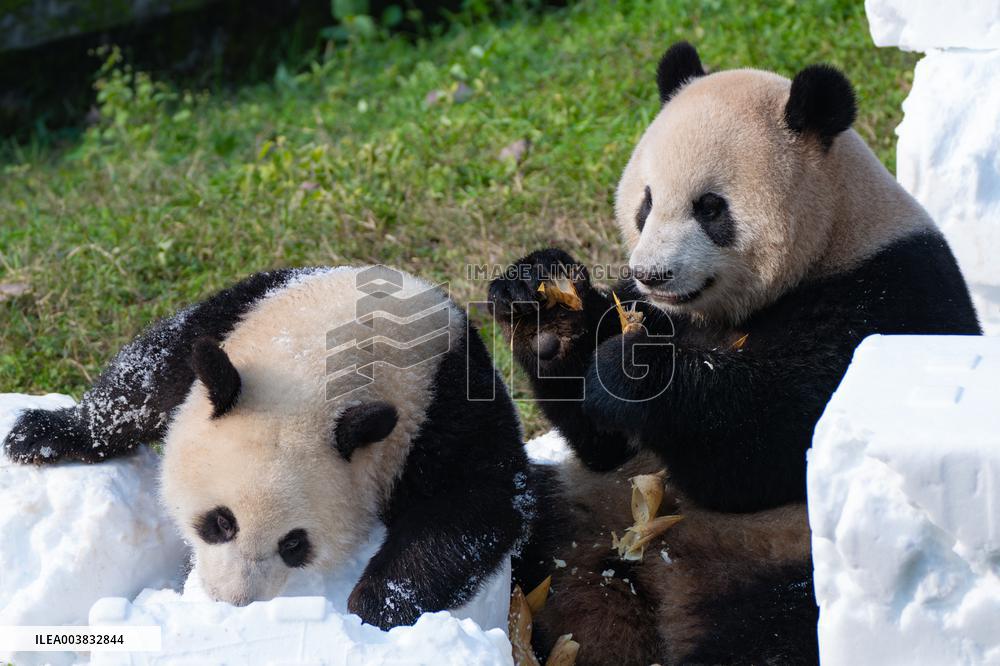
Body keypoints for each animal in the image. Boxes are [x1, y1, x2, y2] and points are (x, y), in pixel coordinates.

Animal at [3, 265, 531, 630]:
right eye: (221, 522)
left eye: (294, 544)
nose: (234, 601)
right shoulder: (243, 309)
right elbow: (151, 372)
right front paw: (42, 435)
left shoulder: (443, 405)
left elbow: (478, 501)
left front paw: (375, 607)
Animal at [489, 42, 981, 663]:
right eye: (646, 202)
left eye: (710, 207)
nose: (653, 273)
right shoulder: (654, 310)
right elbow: (603, 445)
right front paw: (542, 309)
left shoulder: (889, 295)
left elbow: (776, 436)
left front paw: (634, 374)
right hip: (584, 509)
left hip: (783, 565)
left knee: (764, 637)